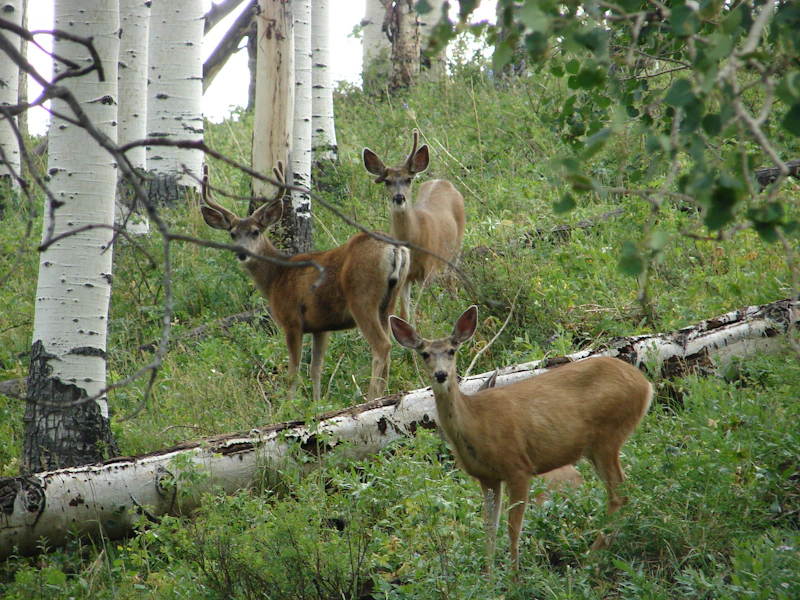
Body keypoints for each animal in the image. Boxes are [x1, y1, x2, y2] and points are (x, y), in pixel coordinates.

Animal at [200, 163, 410, 402]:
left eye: (255, 232)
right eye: (233, 234)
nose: (242, 253)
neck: (276, 277)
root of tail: (395, 247)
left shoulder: (291, 319)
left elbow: (294, 371)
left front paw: (289, 405)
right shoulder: (321, 326)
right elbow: (316, 369)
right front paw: (318, 403)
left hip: (362, 297)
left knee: (382, 345)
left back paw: (371, 397)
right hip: (389, 300)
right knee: (389, 345)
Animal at [363, 129, 466, 322]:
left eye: (408, 179)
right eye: (387, 181)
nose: (399, 197)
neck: (415, 238)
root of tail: (443, 181)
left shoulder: (429, 270)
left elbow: (419, 310)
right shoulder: (406, 274)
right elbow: (405, 313)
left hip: (456, 247)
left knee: (452, 280)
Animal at [390, 306, 652, 571]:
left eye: (452, 351)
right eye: (424, 354)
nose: (441, 374)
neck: (475, 421)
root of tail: (645, 385)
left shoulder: (518, 467)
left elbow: (512, 530)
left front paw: (515, 576)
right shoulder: (487, 477)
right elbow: (489, 530)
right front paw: (489, 577)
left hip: (608, 436)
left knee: (619, 495)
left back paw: (590, 560)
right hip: (595, 447)